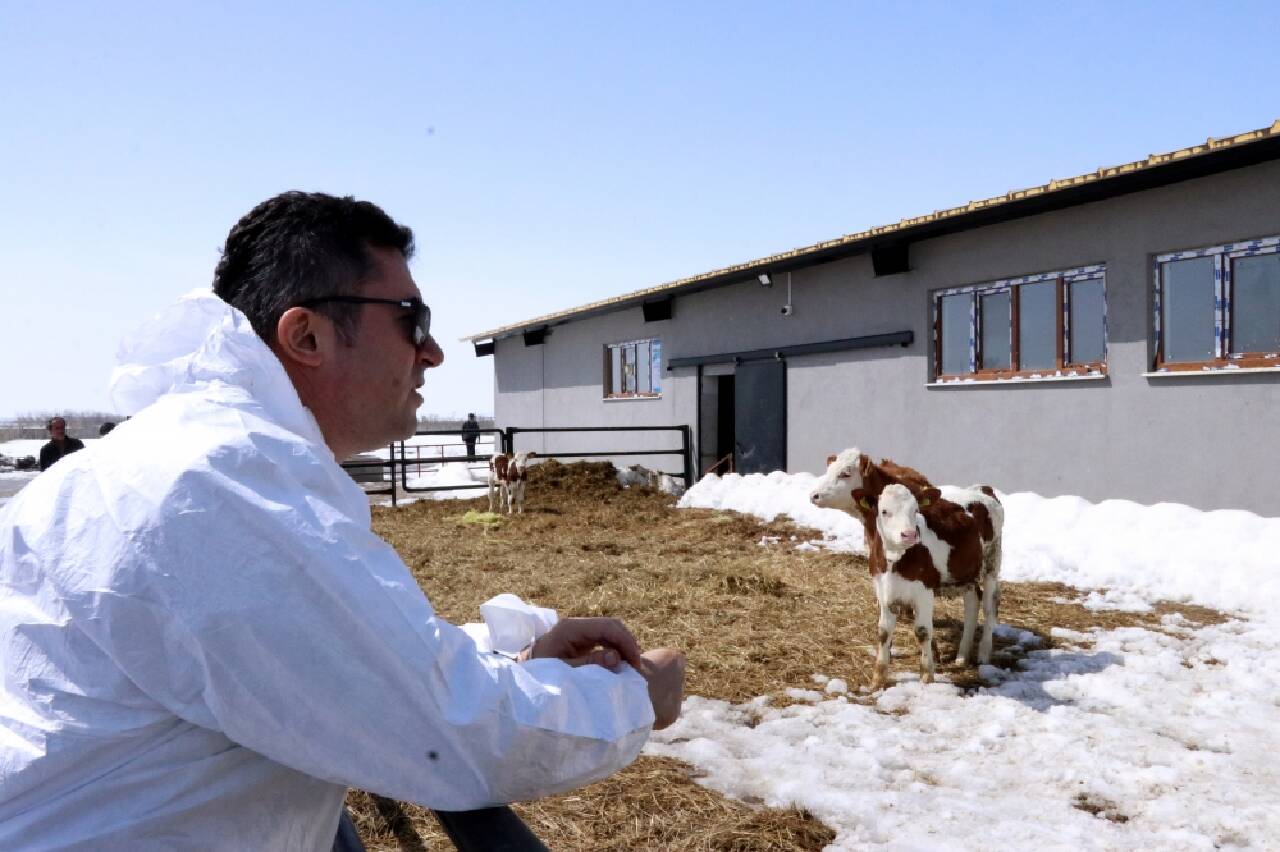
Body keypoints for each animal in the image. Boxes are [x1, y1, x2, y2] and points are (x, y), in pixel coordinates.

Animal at [855, 481, 1003, 685]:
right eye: (884, 511)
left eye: (915, 510)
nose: (909, 534)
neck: (895, 559)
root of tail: (981, 488)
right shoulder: (883, 589)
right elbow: (883, 632)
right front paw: (877, 680)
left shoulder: (924, 591)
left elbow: (922, 631)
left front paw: (927, 677)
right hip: (966, 574)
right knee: (972, 602)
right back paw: (962, 656)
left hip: (992, 561)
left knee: (990, 607)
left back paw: (983, 654)